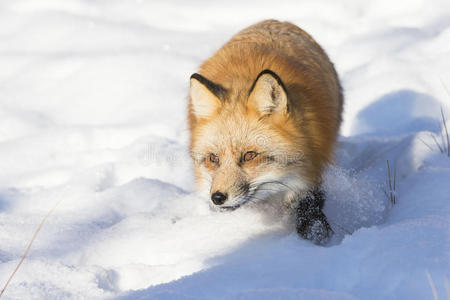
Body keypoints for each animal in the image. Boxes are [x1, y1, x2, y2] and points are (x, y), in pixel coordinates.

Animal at [188, 19, 342, 244]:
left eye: (250, 156)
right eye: (213, 158)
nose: (217, 198)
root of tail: (274, 21)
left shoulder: (313, 166)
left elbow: (309, 205)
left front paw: (316, 233)